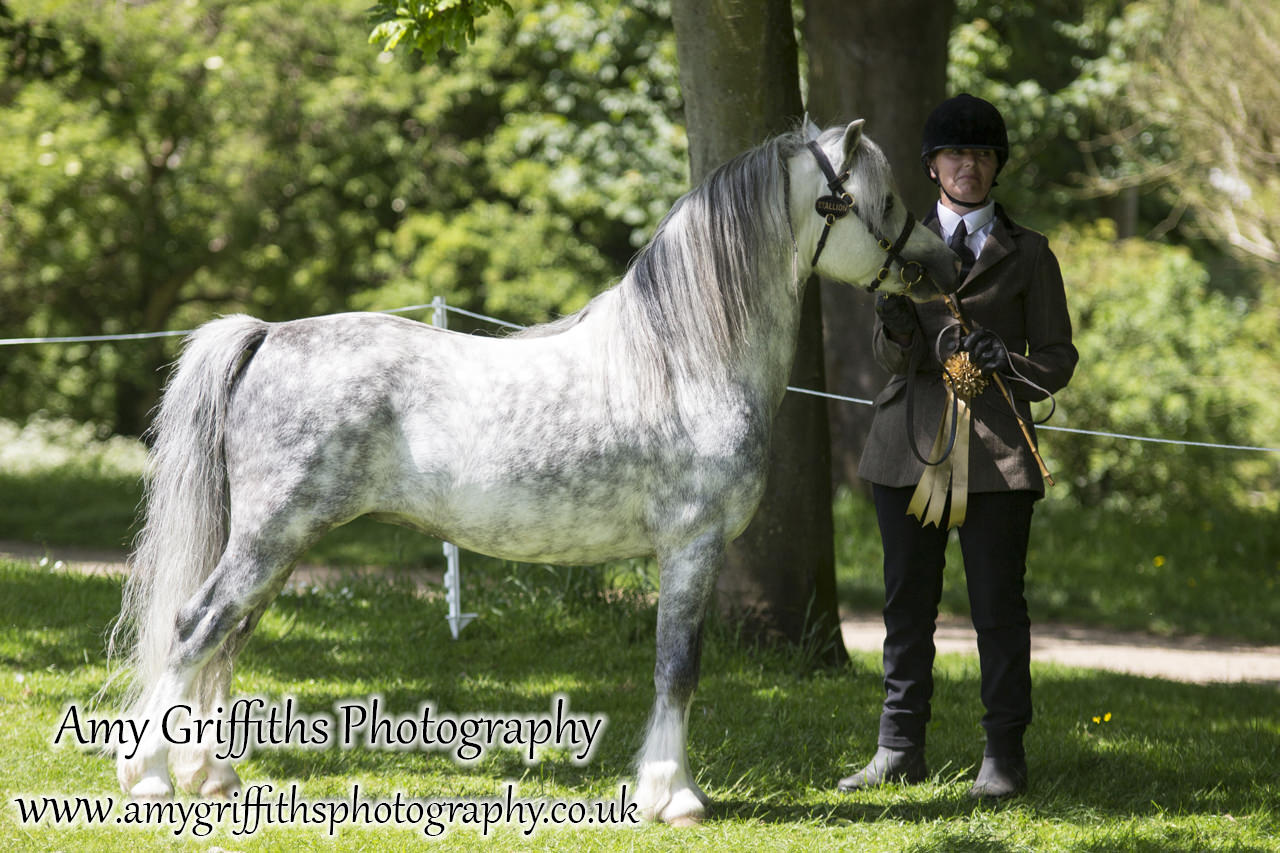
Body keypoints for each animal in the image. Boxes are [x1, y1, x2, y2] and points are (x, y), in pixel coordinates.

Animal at [110, 116, 957, 819]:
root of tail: (269, 335)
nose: (943, 261)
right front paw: (672, 796)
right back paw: (149, 776)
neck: (684, 361)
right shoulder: (691, 547)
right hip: (270, 538)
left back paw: (213, 775)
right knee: (196, 625)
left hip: (279, 546)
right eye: (880, 199)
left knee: (225, 639)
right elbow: (677, 669)